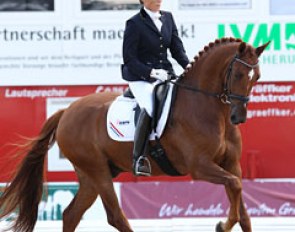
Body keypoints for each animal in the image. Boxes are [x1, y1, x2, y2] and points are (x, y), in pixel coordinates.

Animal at [0, 38, 270, 232]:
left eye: (257, 78)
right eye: (237, 75)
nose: (238, 117)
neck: (208, 108)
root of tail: (66, 111)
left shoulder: (232, 164)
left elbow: (242, 207)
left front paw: (229, 221)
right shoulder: (200, 166)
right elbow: (234, 187)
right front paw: (222, 225)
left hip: (90, 176)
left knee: (71, 215)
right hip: (97, 171)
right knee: (115, 217)